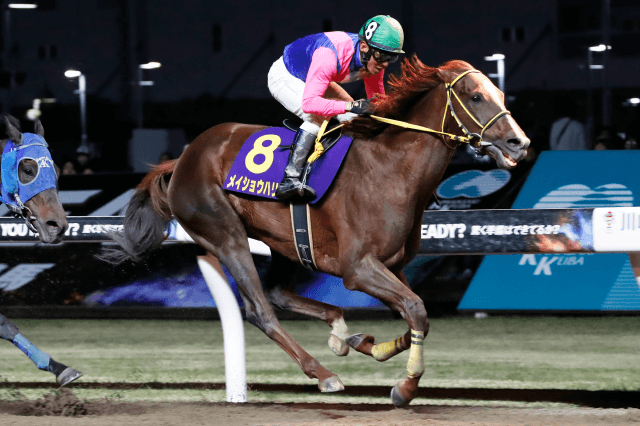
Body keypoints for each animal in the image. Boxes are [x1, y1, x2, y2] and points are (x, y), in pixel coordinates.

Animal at [103, 57, 529, 406]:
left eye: (499, 93)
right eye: (475, 96)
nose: (519, 143)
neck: (392, 168)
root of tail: (183, 158)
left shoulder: (394, 265)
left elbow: (414, 313)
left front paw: (369, 345)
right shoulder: (358, 268)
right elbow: (416, 310)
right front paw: (405, 387)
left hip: (283, 242)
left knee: (279, 294)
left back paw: (341, 334)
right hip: (224, 235)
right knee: (260, 310)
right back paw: (324, 375)